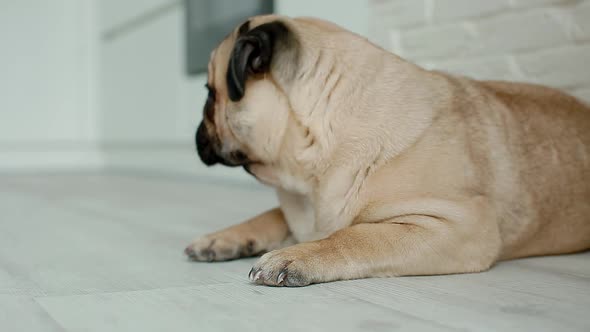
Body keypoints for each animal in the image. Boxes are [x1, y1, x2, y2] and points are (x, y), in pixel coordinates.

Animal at [185, 14, 590, 286]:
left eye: (209, 93)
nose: (197, 133)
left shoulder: (458, 223)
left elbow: (355, 236)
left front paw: (297, 256)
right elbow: (270, 216)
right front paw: (222, 239)